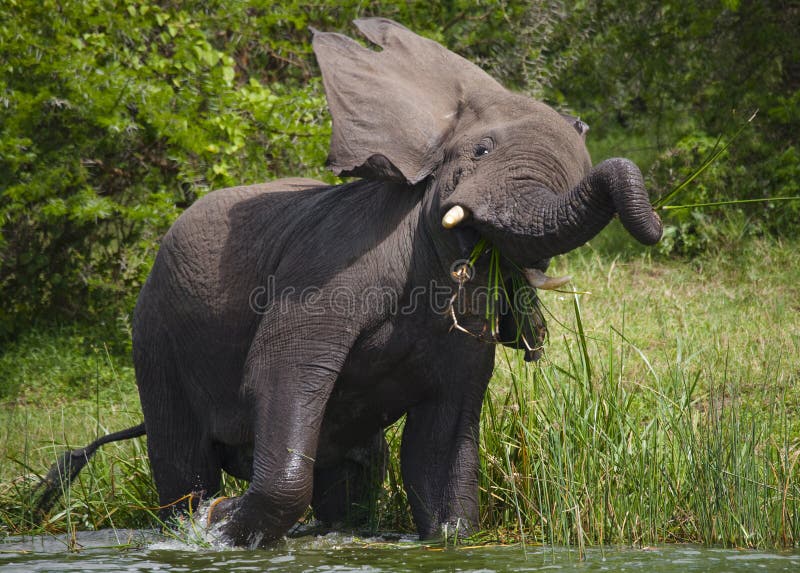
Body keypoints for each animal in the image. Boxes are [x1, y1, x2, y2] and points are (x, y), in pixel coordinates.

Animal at [36, 17, 664, 544]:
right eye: (481, 150)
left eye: (579, 169)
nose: (657, 224)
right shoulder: (328, 269)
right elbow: (282, 374)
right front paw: (221, 524)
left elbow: (443, 448)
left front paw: (451, 538)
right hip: (157, 333)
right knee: (184, 461)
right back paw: (193, 518)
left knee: (354, 474)